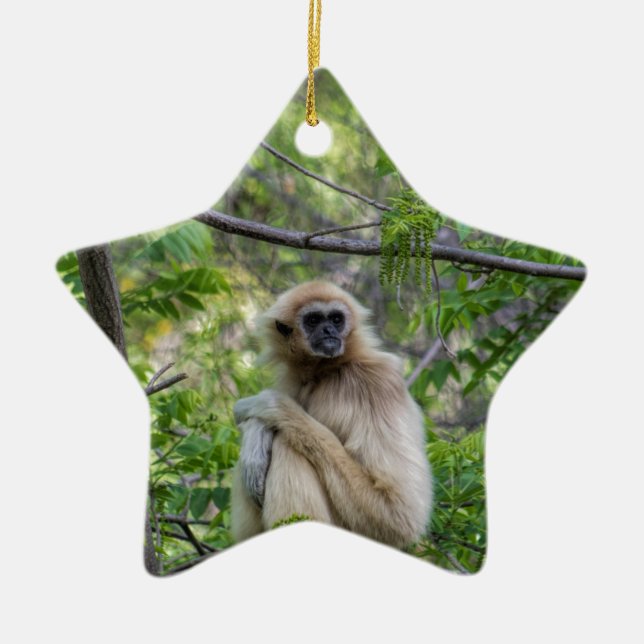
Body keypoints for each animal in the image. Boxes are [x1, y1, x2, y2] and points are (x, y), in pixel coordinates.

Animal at [230, 281, 432, 549]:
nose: (328, 330)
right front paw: (255, 435)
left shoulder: (379, 383)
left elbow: (400, 513)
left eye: (336, 319)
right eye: (314, 320)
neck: (327, 371)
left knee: (286, 443)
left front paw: (266, 407)